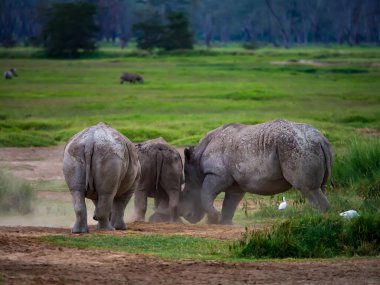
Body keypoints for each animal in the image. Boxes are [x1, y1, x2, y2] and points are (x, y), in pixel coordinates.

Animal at [180, 118, 332, 223]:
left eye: (187, 190)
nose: (187, 217)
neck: (197, 161)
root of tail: (321, 139)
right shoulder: (235, 183)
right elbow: (229, 203)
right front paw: (223, 223)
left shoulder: (217, 174)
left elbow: (205, 194)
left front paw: (214, 218)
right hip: (308, 146)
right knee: (320, 187)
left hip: (298, 147)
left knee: (307, 188)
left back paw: (316, 220)